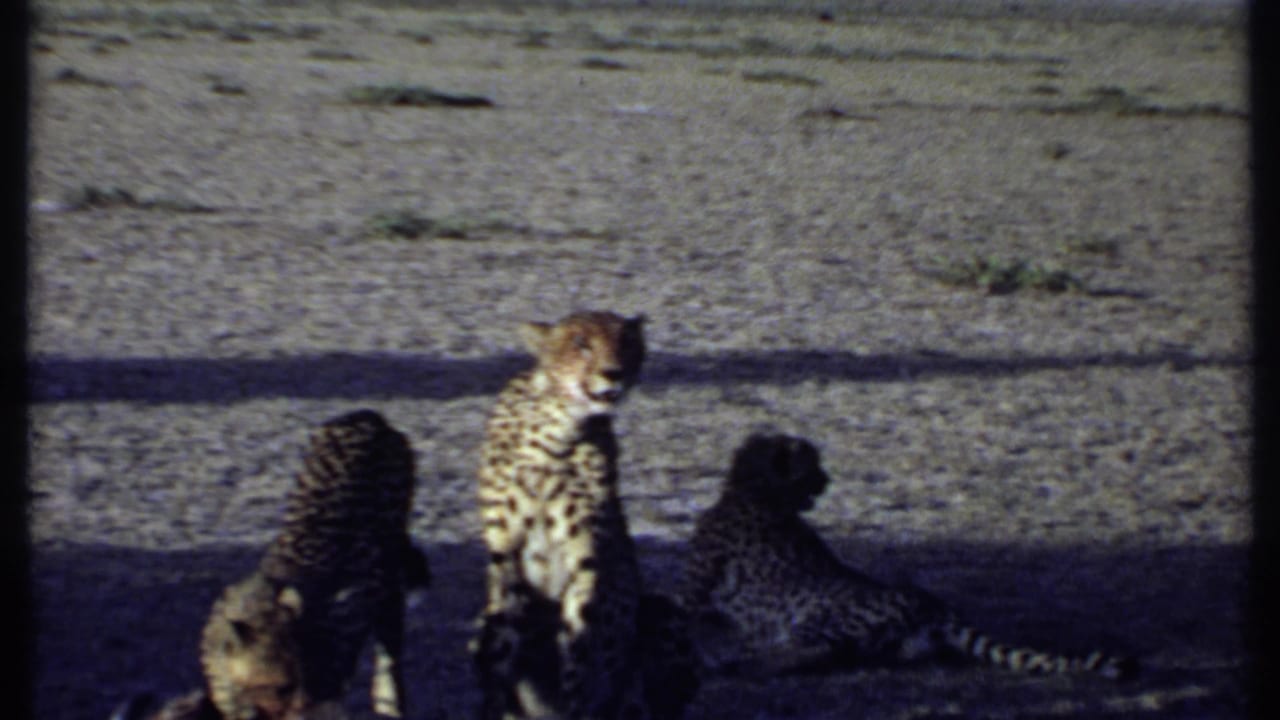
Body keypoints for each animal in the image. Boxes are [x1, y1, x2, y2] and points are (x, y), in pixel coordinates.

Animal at [114, 409, 429, 720]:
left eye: (313, 677)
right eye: (283, 686)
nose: (307, 705)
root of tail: (367, 416)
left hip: (387, 579)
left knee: (389, 648)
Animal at [472, 310, 682, 719]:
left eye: (626, 342)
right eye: (581, 343)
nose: (614, 372)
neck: (557, 429)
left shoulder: (586, 559)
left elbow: (579, 653)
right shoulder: (504, 557)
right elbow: (500, 656)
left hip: (658, 622)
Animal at [679, 433, 1139, 684]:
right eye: (813, 466)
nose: (829, 481)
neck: (753, 490)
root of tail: (933, 602)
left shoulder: (698, 593)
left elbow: (678, 607)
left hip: (819, 615)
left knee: (813, 650)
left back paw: (741, 663)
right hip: (882, 639)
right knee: (840, 654)